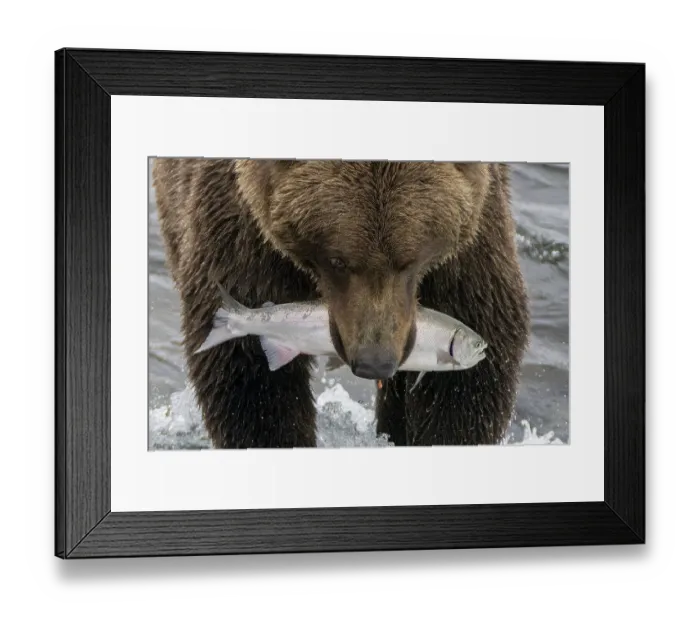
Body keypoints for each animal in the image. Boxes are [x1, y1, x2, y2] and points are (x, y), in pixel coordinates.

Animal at [152, 158, 530, 448]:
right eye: (338, 261)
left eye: (409, 261)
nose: (375, 362)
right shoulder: (244, 233)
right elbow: (250, 381)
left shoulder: (468, 255)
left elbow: (466, 387)